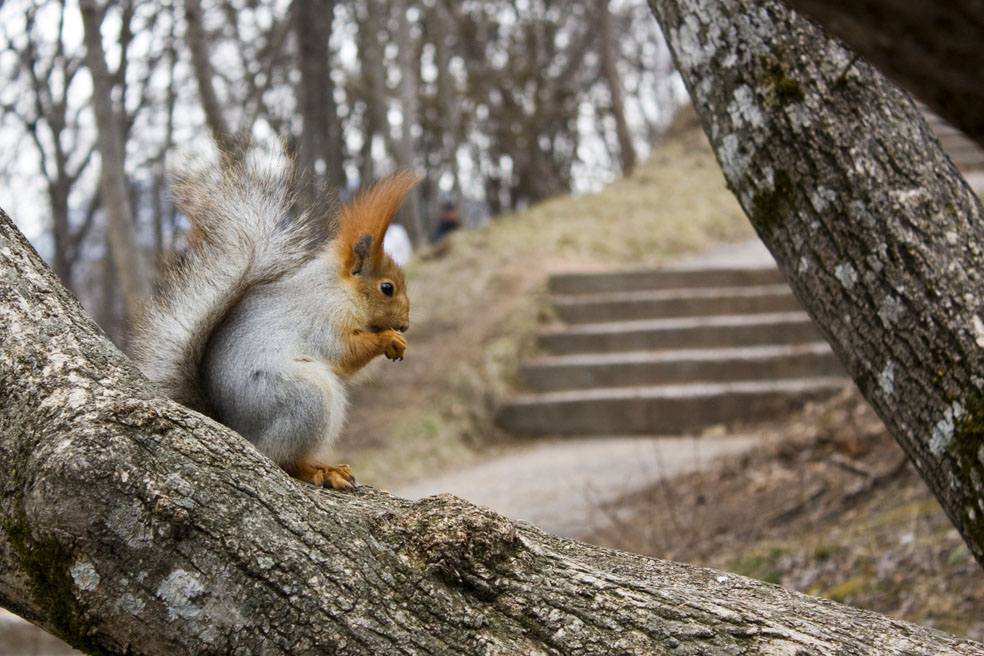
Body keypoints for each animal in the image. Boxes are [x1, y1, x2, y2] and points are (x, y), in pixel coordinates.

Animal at [130, 145, 416, 492]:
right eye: (387, 288)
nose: (405, 324)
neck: (336, 289)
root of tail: (239, 431)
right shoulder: (323, 320)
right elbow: (345, 353)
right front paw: (389, 339)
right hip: (305, 400)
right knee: (286, 462)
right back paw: (322, 470)